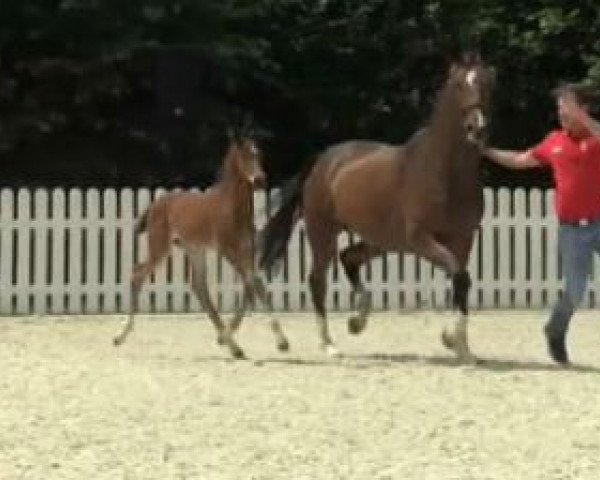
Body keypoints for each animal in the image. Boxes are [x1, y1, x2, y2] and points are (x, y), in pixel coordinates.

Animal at [114, 133, 290, 358]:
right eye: (243, 156)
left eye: (259, 154)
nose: (260, 180)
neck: (232, 208)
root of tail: (155, 204)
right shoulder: (228, 250)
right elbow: (253, 284)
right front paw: (230, 337)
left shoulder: (246, 250)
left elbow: (254, 284)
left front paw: (279, 342)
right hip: (160, 247)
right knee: (137, 274)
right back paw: (120, 336)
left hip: (194, 249)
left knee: (199, 286)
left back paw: (234, 346)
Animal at [260, 55, 494, 360]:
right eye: (457, 85)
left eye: (487, 84)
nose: (477, 128)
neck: (443, 172)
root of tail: (322, 160)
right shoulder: (420, 240)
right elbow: (459, 275)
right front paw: (452, 340)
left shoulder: (463, 239)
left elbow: (461, 280)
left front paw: (461, 347)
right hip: (324, 233)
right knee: (317, 279)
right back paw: (329, 344)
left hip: (381, 240)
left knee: (349, 258)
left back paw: (357, 321)